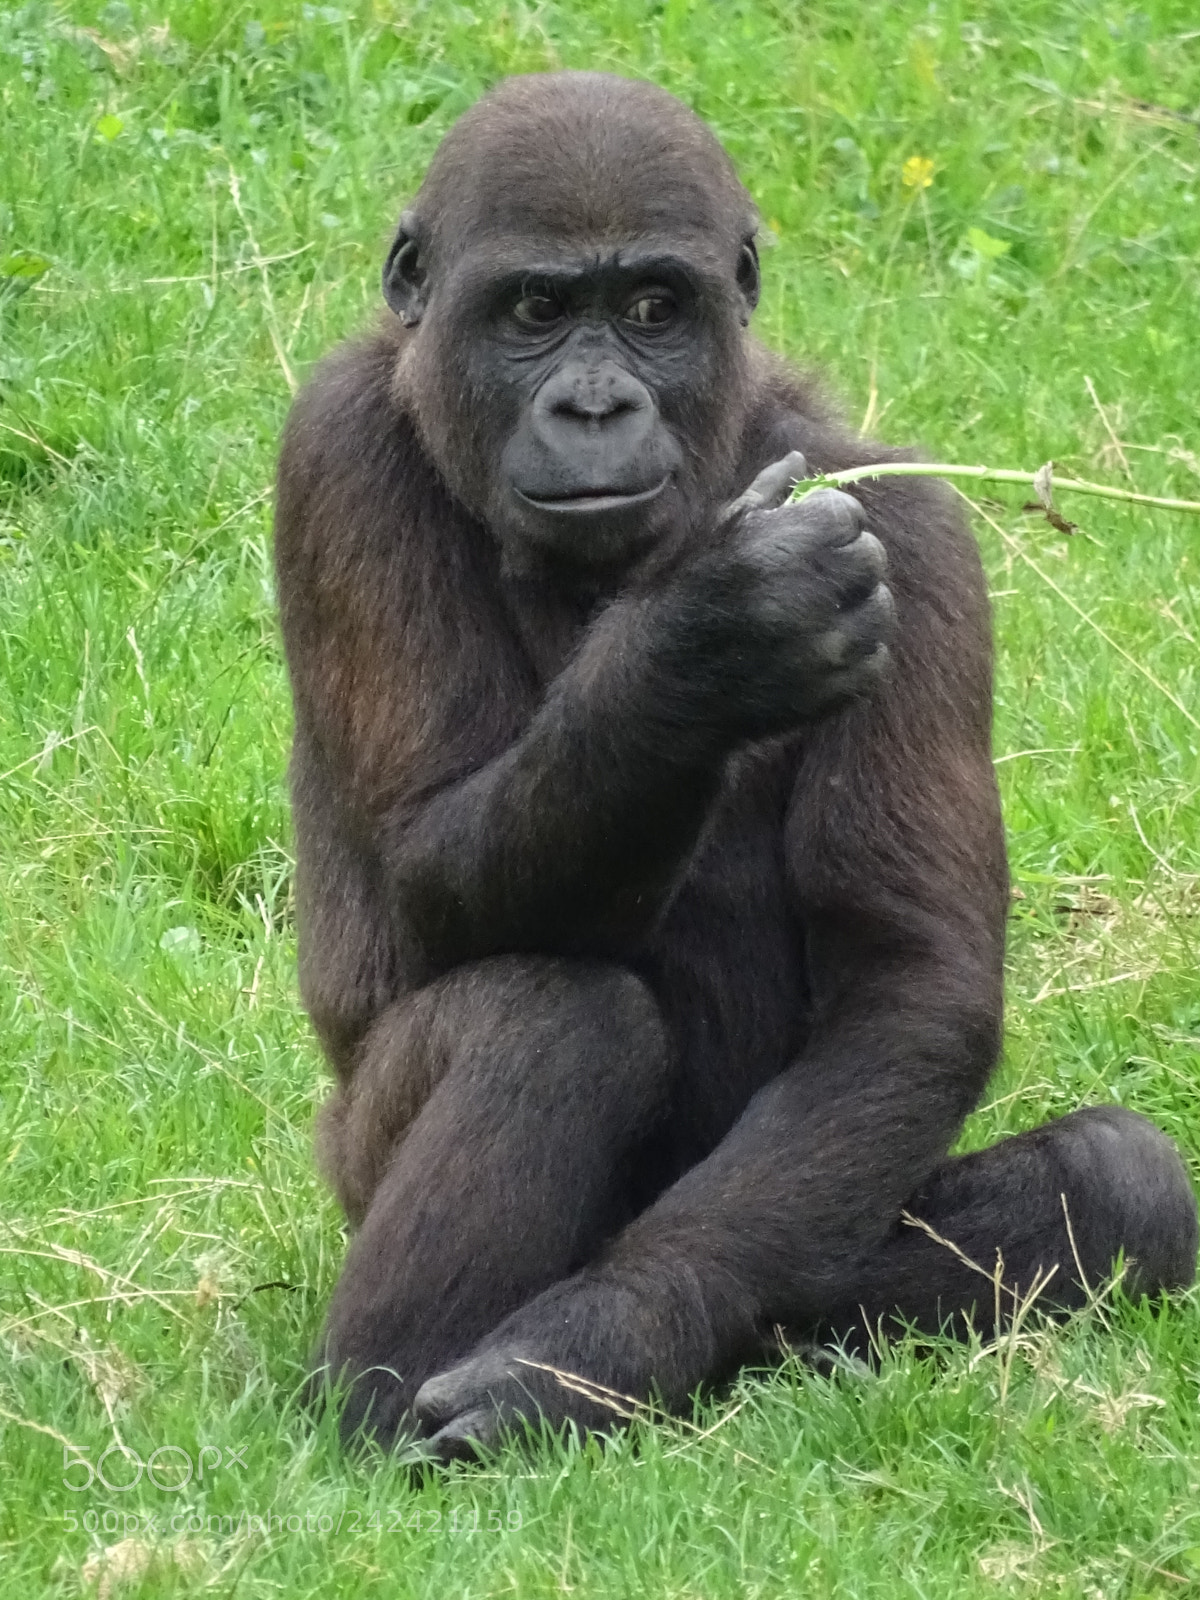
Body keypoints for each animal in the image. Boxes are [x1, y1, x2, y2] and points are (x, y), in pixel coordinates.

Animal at [273, 71, 1198, 1460]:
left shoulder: (914, 525)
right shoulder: (336, 448)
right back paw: (383, 1391)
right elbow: (434, 862)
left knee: (1115, 1181)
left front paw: (593, 1345)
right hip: (350, 1170)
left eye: (655, 309)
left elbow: (906, 983)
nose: (596, 409)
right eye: (537, 310)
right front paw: (699, 649)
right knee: (545, 1019)